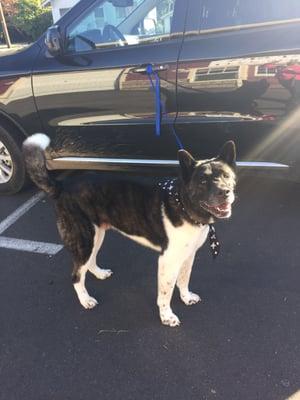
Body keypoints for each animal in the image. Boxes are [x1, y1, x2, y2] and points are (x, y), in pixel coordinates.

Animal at [22, 135, 237, 328]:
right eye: (202, 181)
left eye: (226, 176)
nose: (224, 192)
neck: (182, 204)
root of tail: (62, 186)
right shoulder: (167, 261)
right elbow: (165, 293)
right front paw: (167, 317)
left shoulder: (188, 255)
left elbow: (184, 279)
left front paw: (186, 297)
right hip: (83, 238)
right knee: (76, 275)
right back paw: (85, 300)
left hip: (96, 234)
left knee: (89, 262)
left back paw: (99, 273)